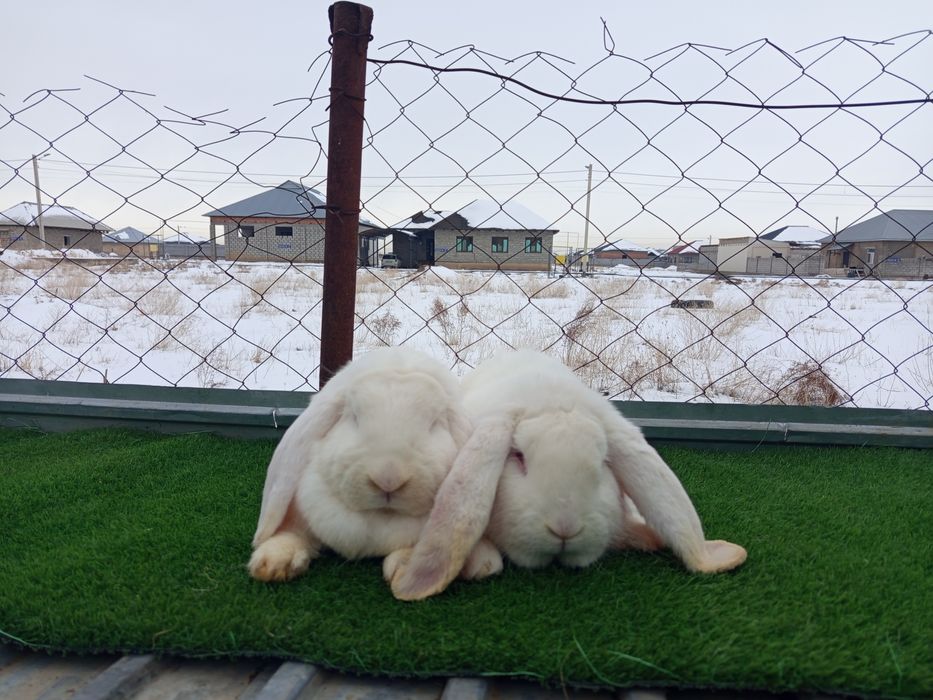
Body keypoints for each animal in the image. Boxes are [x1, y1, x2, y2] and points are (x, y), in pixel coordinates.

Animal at [249, 346, 483, 583]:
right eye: (354, 417)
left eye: (434, 423)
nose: (388, 480)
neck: (378, 519)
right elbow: (293, 532)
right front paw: (274, 562)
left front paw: (406, 567)